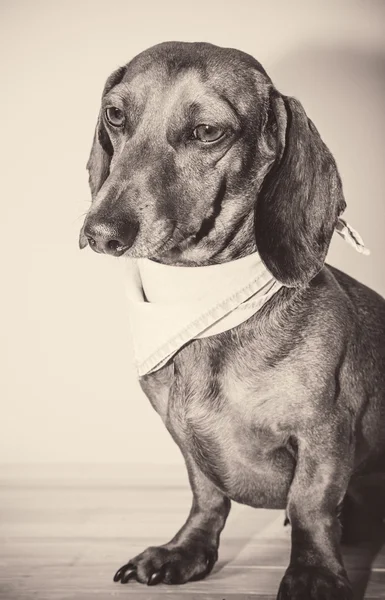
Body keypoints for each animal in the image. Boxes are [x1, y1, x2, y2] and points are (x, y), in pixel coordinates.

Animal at [79, 39, 384, 596]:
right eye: (115, 114)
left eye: (207, 131)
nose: (102, 233)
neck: (206, 308)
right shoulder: (183, 436)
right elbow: (207, 494)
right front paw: (184, 550)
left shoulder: (324, 432)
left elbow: (309, 503)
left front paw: (313, 571)